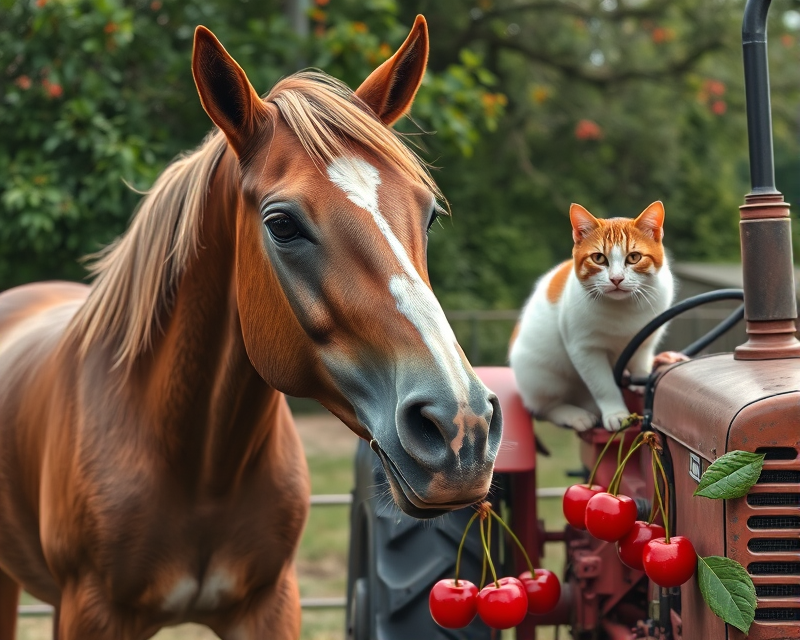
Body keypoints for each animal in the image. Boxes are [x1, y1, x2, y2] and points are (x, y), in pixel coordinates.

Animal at [0, 15, 500, 640]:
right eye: (282, 224)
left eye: (428, 214)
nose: (461, 429)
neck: (199, 466)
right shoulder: (92, 613)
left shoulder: (269, 605)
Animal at [510, 202, 672, 432]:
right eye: (599, 258)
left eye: (634, 257)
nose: (616, 279)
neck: (624, 308)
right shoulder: (585, 350)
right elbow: (603, 385)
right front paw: (616, 413)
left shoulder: (646, 338)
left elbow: (641, 360)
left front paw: (641, 379)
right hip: (542, 377)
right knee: (544, 407)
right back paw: (575, 415)